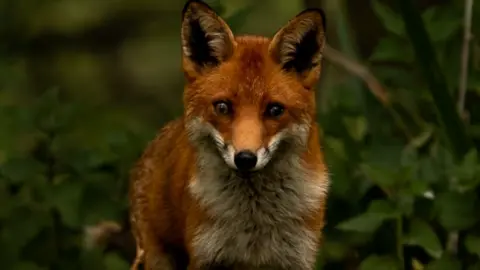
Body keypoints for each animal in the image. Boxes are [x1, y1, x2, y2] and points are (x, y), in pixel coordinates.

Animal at [127, 0, 330, 268]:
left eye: (275, 110)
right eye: (222, 107)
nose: (245, 158)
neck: (254, 220)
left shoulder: (297, 257)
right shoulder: (205, 256)